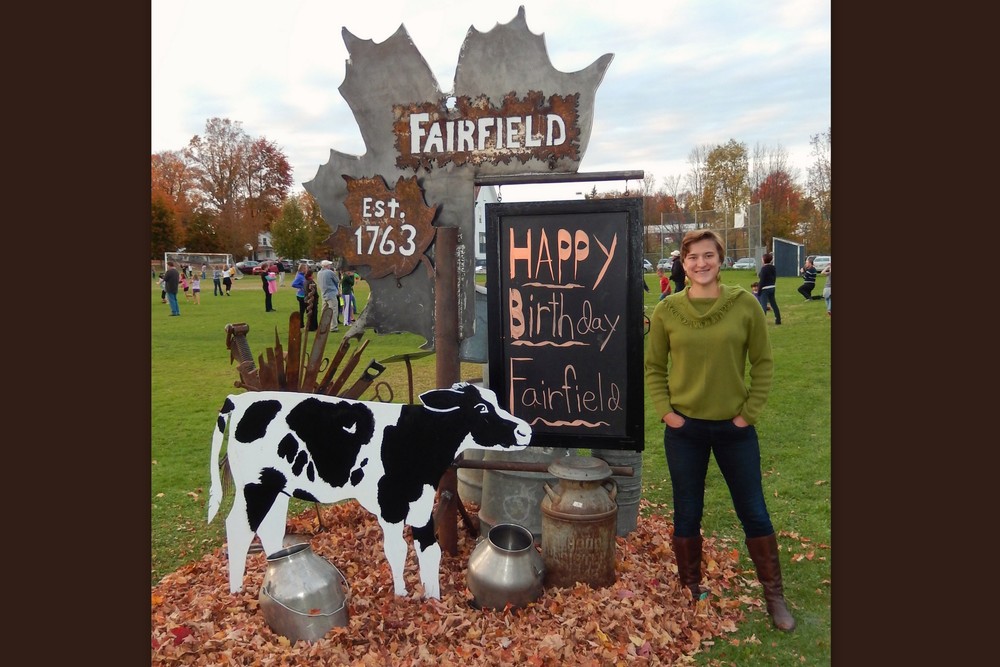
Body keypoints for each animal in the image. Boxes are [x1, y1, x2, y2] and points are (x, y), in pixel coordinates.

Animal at [206, 384, 528, 596]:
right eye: (481, 407)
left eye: (497, 401)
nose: (525, 430)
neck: (418, 437)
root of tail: (241, 398)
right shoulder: (391, 504)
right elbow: (397, 550)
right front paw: (401, 594)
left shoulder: (422, 502)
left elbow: (429, 549)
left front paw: (433, 597)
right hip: (255, 486)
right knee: (238, 528)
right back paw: (236, 590)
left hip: (277, 488)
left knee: (269, 530)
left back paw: (279, 567)